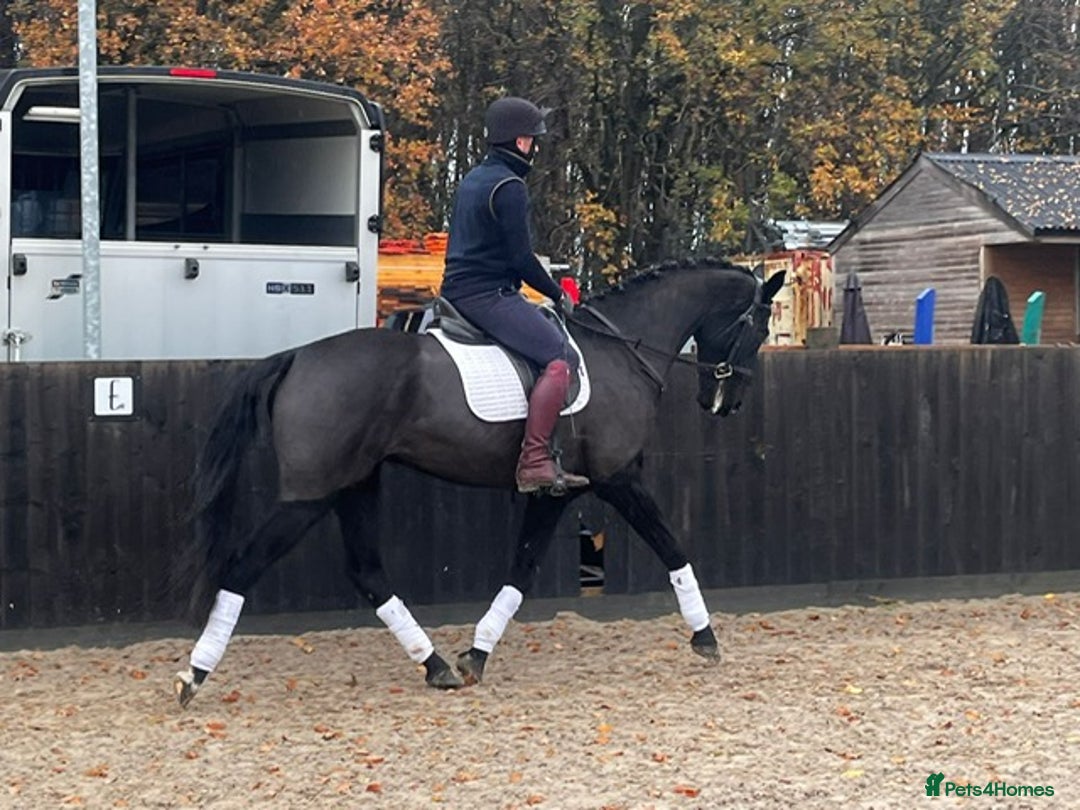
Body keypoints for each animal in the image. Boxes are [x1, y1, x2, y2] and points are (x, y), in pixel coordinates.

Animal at [172, 258, 784, 706]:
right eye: (758, 327)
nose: (726, 403)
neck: (621, 351)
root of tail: (298, 356)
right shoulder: (617, 478)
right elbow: (671, 546)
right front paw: (706, 637)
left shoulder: (558, 491)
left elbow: (522, 568)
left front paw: (476, 653)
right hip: (311, 494)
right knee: (244, 566)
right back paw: (194, 674)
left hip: (355, 485)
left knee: (367, 571)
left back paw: (436, 665)